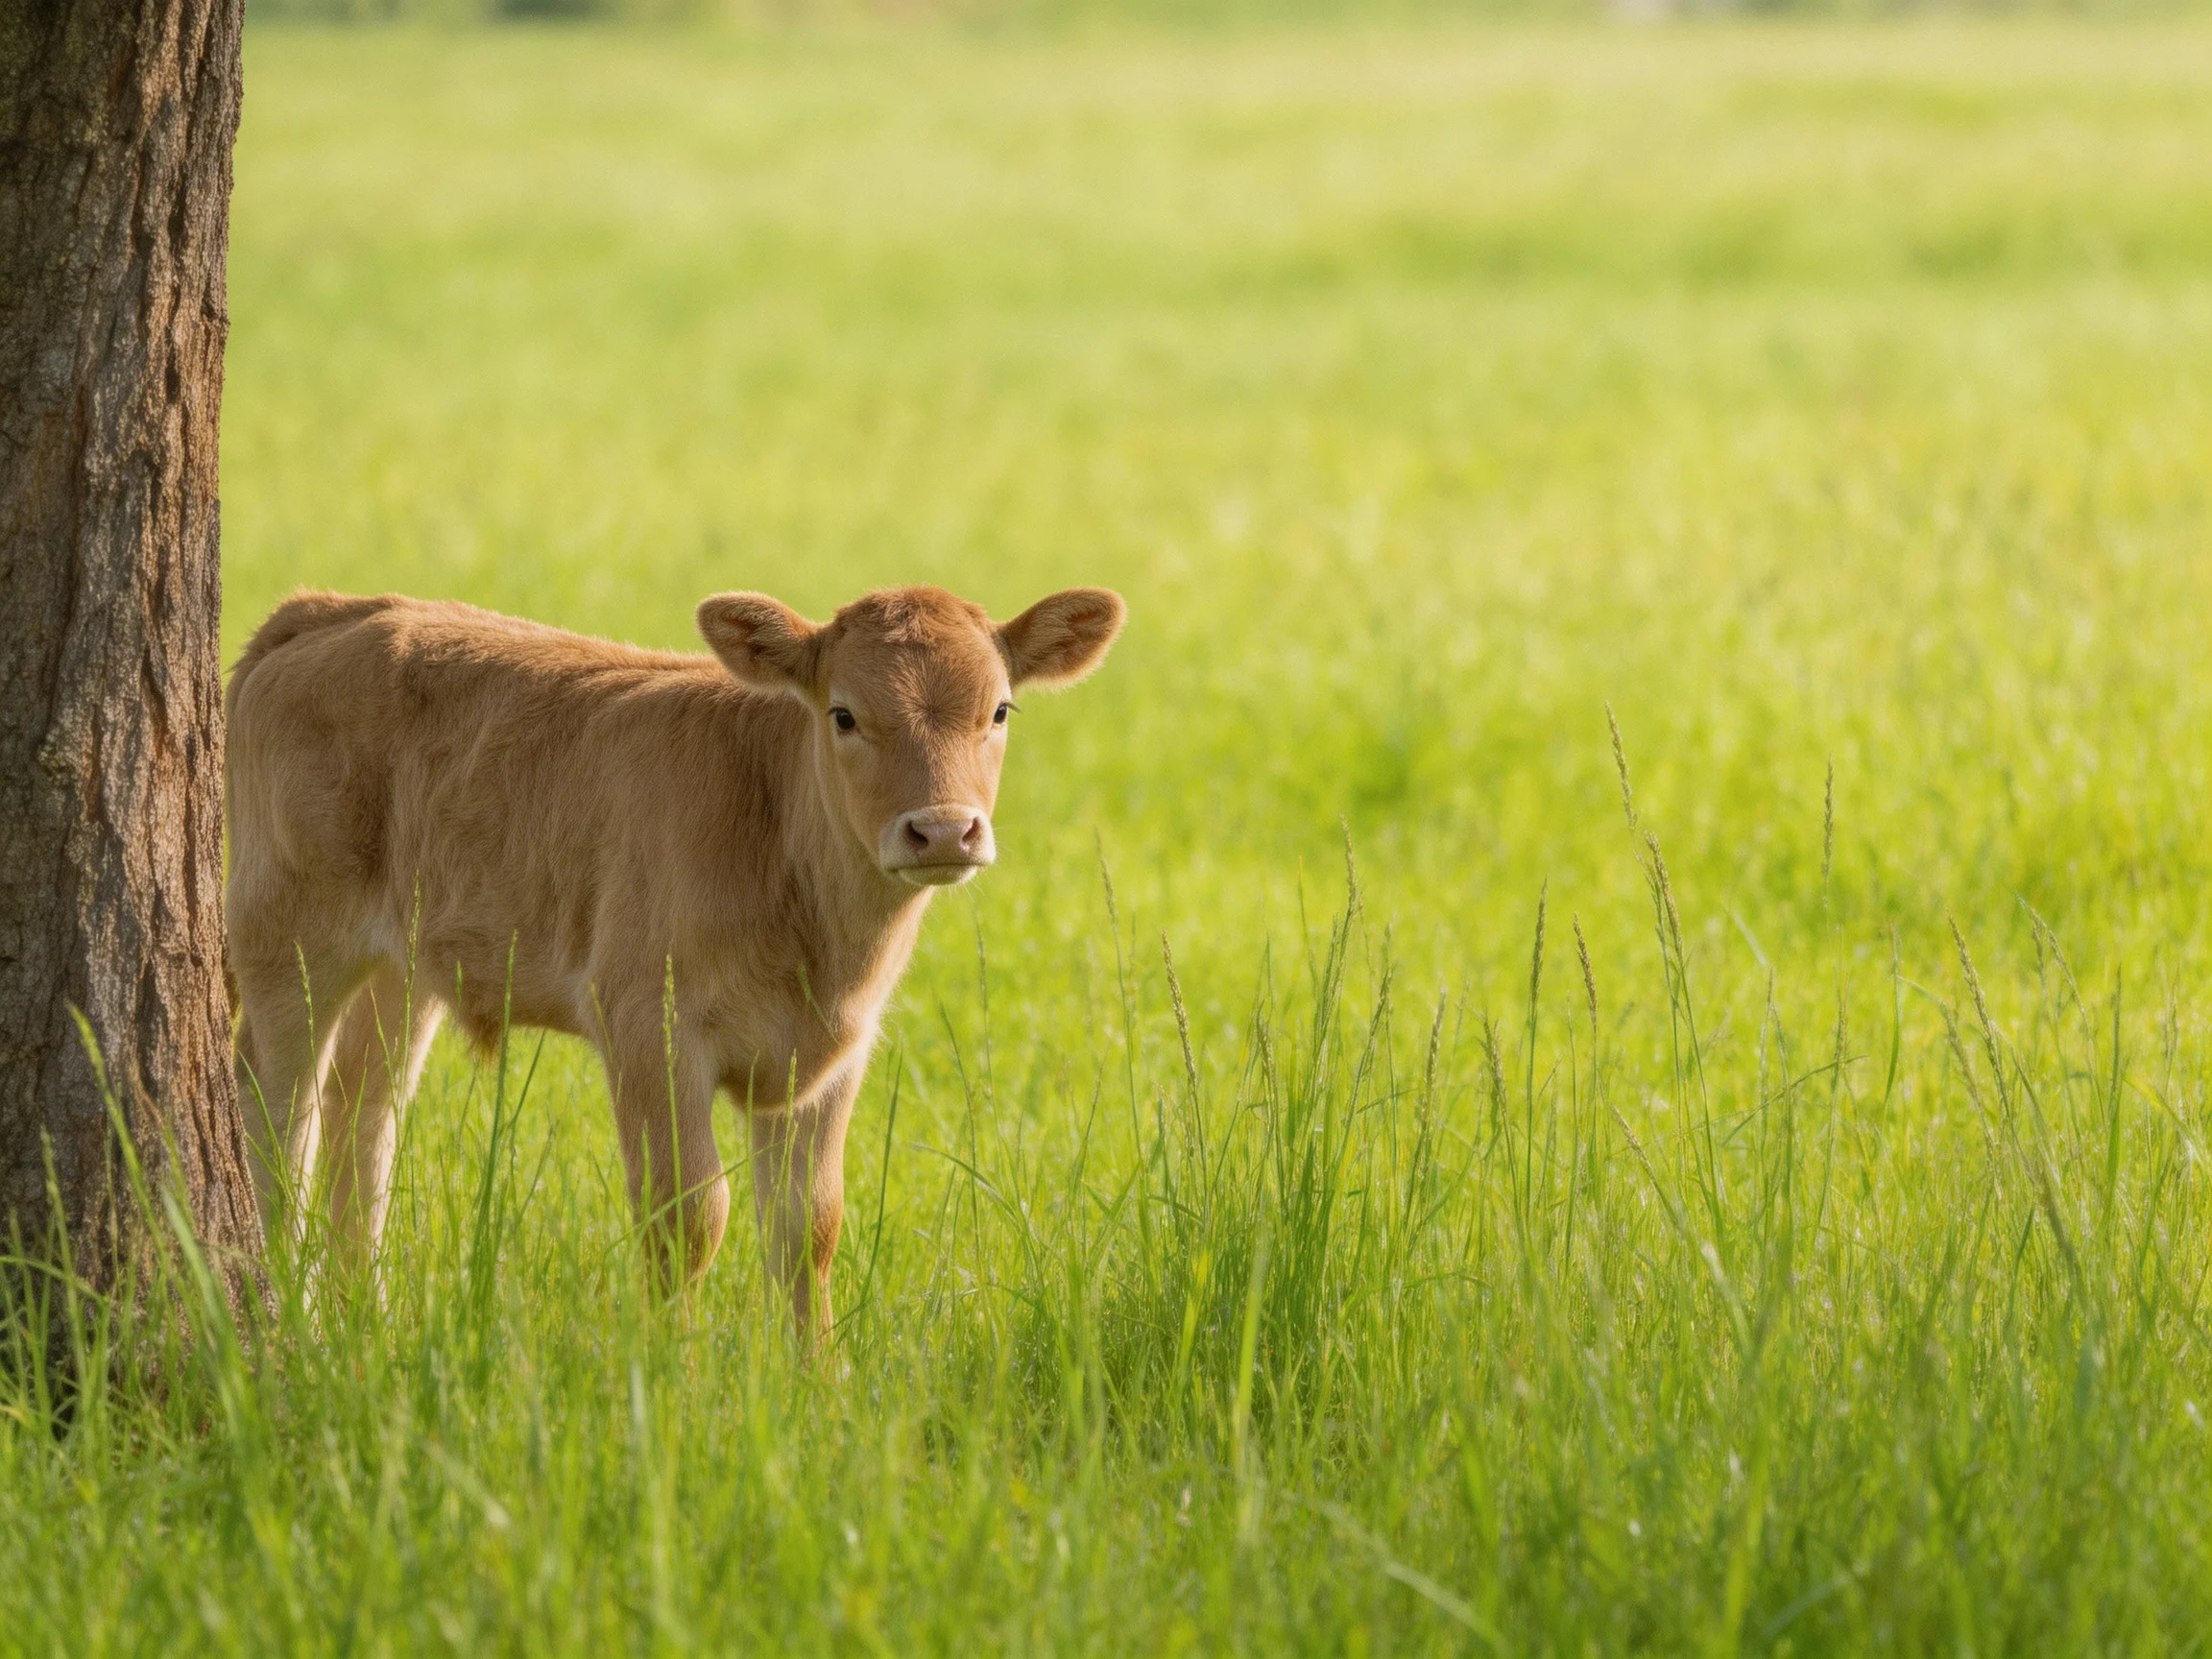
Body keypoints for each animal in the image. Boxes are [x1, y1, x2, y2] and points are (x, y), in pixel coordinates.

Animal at [224, 583, 1124, 1346]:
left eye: (999, 709)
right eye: (843, 715)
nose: (941, 830)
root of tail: (332, 610)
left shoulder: (835, 1055)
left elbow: (808, 1225)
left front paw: (817, 1386)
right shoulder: (647, 1026)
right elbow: (688, 1216)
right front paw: (671, 1382)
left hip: (400, 969)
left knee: (362, 1115)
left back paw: (364, 1324)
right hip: (290, 942)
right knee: (278, 1118)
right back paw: (286, 1321)